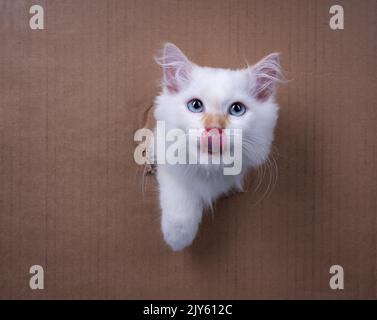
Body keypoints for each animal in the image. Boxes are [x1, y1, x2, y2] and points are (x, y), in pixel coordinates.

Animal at [153, 42, 282, 251]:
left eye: (237, 109)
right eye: (195, 105)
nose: (214, 128)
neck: (209, 172)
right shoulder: (165, 158)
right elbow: (180, 199)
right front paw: (178, 239)